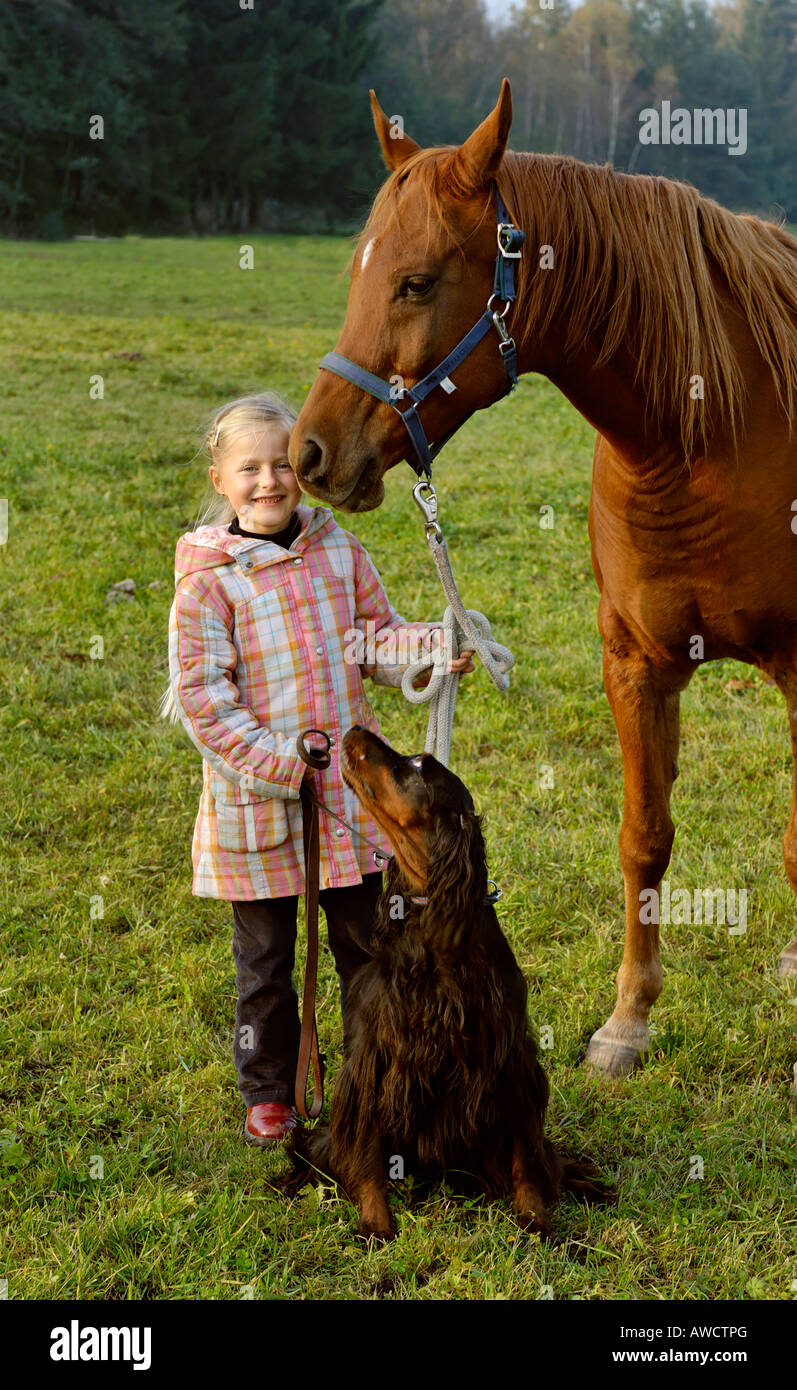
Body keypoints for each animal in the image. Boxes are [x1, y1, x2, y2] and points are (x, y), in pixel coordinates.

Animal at [287, 728, 614, 1239]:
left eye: (419, 765)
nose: (354, 731)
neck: (435, 917)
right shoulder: (375, 1062)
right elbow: (367, 1156)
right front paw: (376, 1225)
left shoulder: (509, 1063)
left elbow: (525, 1157)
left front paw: (536, 1220)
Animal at [289, 78, 795, 1084]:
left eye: (415, 282)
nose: (311, 453)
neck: (705, 436)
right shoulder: (633, 662)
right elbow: (643, 837)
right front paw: (627, 1022)